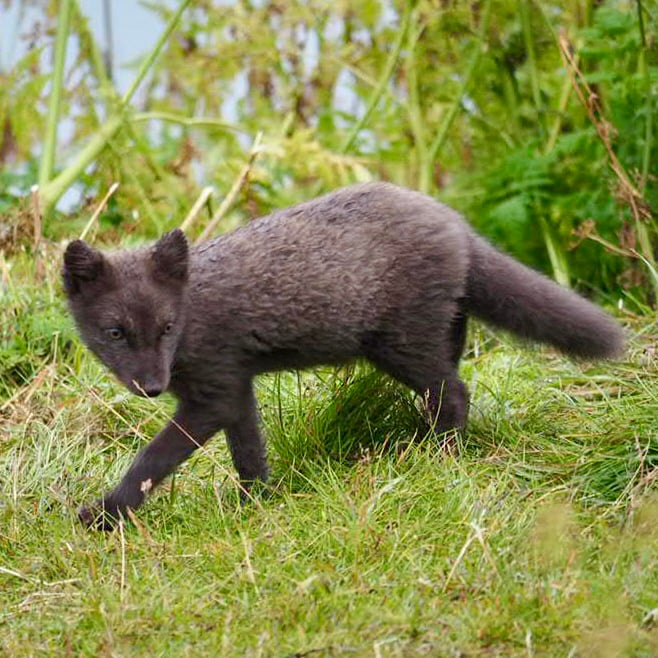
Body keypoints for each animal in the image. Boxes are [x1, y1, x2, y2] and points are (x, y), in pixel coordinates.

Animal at [63, 182, 624, 529]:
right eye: (115, 333)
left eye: (166, 328)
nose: (151, 387)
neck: (194, 311)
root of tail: (455, 222)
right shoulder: (235, 388)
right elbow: (249, 452)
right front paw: (255, 504)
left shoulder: (213, 392)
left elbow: (152, 459)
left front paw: (105, 515)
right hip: (439, 332)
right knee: (453, 380)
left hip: (401, 345)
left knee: (454, 393)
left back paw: (435, 456)